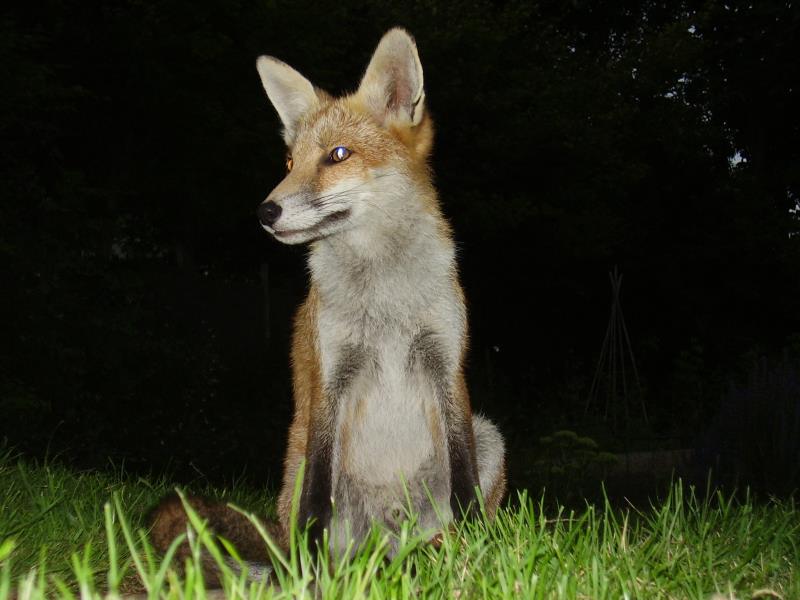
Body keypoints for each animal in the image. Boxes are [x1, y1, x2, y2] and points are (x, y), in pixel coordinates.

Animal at [150, 27, 506, 572]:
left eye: (338, 155)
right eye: (289, 162)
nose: (265, 212)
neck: (384, 298)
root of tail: (382, 543)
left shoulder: (446, 363)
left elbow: (462, 482)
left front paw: (476, 545)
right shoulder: (330, 374)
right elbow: (319, 497)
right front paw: (310, 567)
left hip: (489, 436)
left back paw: (439, 554)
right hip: (294, 464)